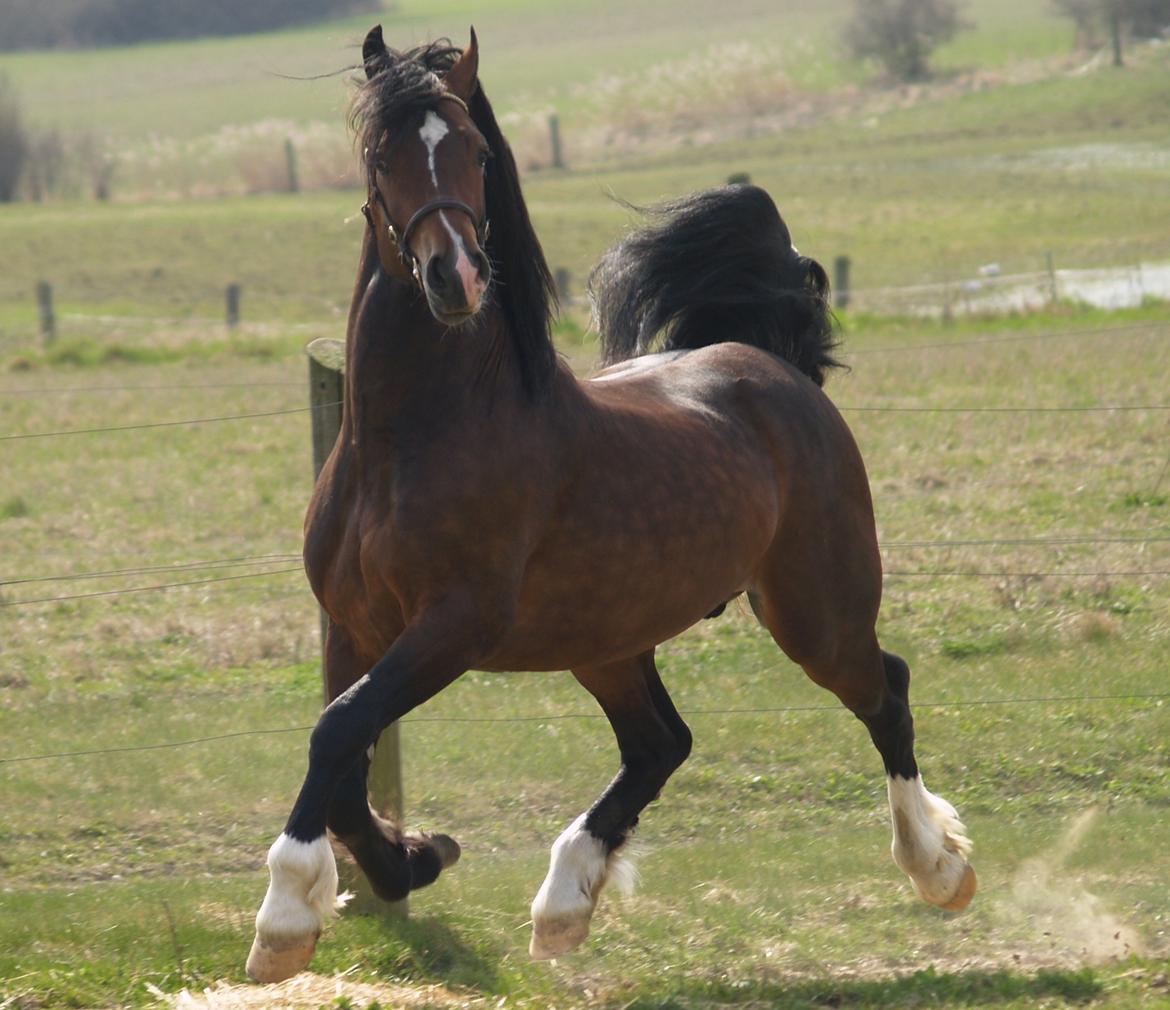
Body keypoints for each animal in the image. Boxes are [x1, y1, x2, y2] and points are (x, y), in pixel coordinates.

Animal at [246, 27, 978, 983]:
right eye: (380, 156)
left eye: (475, 151)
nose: (454, 277)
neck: (409, 442)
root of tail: (776, 368)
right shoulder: (352, 625)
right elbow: (344, 765)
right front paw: (415, 857)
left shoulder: (454, 625)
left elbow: (338, 735)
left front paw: (285, 918)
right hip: (605, 638)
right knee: (660, 743)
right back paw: (564, 902)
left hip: (815, 614)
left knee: (884, 690)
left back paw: (938, 868)